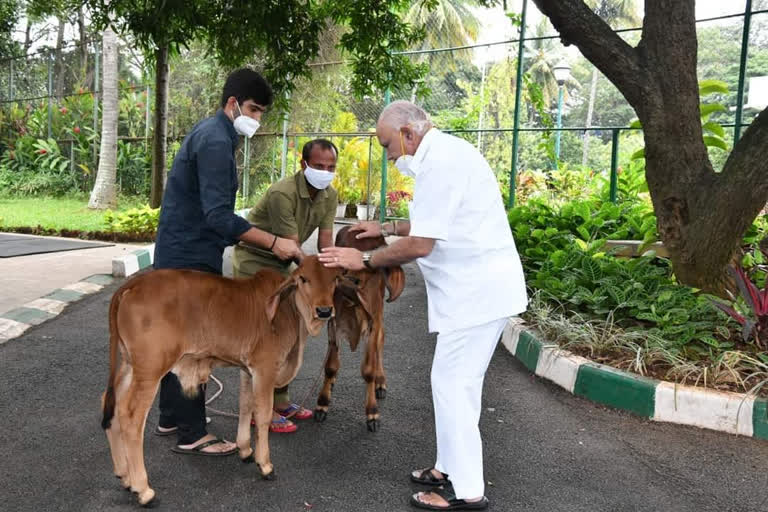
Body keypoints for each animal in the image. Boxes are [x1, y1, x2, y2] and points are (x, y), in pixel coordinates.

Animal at [100, 258, 340, 506]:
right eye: (303, 278)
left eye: (335, 278)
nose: (324, 310)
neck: (288, 310)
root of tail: (131, 285)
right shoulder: (265, 369)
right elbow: (263, 415)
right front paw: (265, 465)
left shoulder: (248, 370)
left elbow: (246, 406)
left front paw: (245, 450)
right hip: (150, 369)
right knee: (130, 416)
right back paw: (143, 490)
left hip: (129, 365)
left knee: (111, 405)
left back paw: (125, 476)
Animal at [314, 226, 404, 430]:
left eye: (372, 270)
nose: (347, 286)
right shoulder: (334, 324)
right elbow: (331, 366)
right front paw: (322, 403)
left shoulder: (372, 325)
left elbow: (368, 370)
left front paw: (372, 412)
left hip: (378, 317)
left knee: (380, 344)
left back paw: (380, 382)